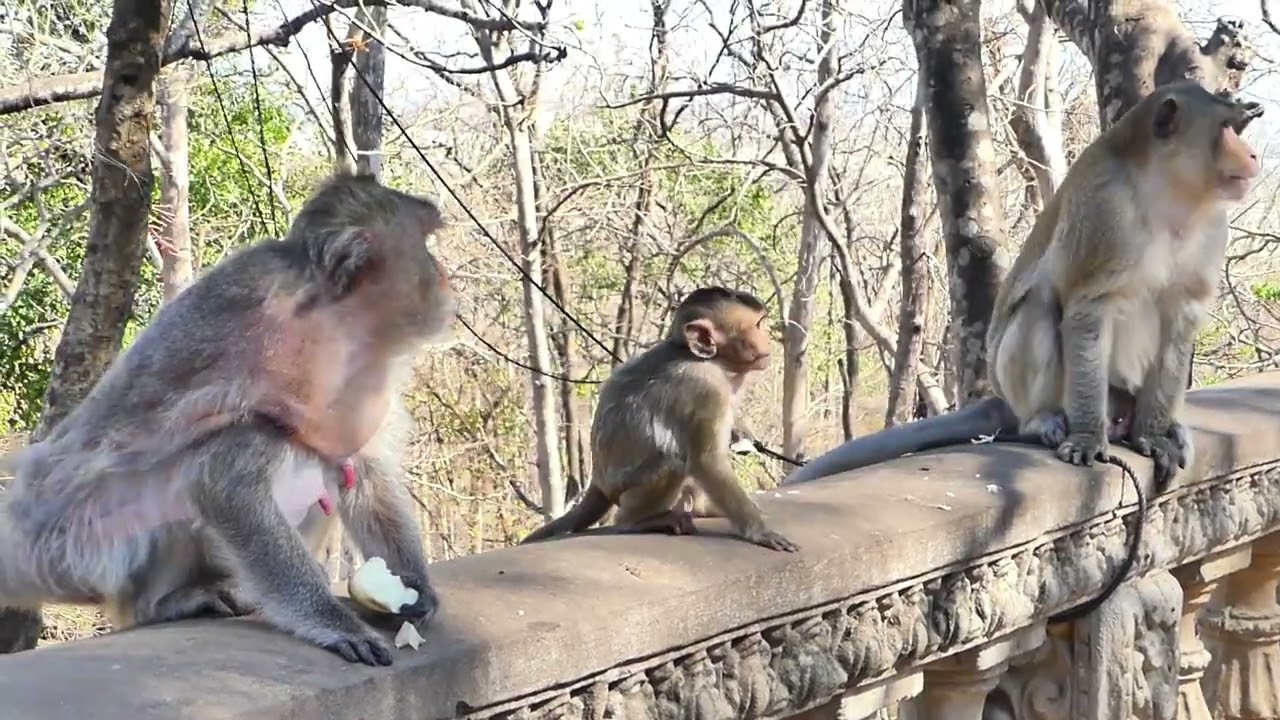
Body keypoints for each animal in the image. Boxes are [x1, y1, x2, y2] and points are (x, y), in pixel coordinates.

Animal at [1, 174, 457, 666]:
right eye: (425, 243)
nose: (444, 273)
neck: (335, 320)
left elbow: (363, 465)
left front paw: (416, 588)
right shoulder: (263, 345)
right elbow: (223, 485)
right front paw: (334, 623)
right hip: (93, 556)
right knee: (222, 448)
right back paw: (166, 603)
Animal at [520, 287, 799, 552]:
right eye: (758, 325)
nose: (767, 338)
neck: (708, 360)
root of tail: (599, 481)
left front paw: (741, 432)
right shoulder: (705, 386)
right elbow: (707, 461)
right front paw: (759, 531)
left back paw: (700, 508)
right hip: (626, 485)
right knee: (674, 459)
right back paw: (636, 520)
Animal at [784, 81, 1263, 492]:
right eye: (1226, 129)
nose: (1254, 154)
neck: (1171, 194)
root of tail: (1005, 401)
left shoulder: (1212, 229)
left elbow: (1179, 318)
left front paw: (1154, 434)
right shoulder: (1104, 210)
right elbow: (1088, 306)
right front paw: (1088, 436)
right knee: (1038, 306)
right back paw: (1043, 420)